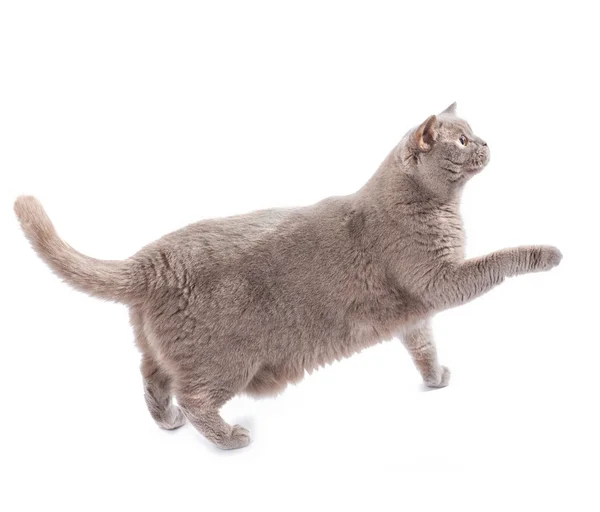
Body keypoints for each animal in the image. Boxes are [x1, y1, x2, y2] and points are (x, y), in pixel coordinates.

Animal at [14, 103, 564, 448]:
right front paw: (548, 253)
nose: (488, 142)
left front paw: (435, 379)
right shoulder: (439, 281)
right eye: (463, 139)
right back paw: (229, 438)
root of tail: (151, 258)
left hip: (158, 347)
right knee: (193, 396)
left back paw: (167, 423)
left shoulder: (414, 312)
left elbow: (423, 346)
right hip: (228, 359)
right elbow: (500, 260)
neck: (438, 206)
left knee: (151, 380)